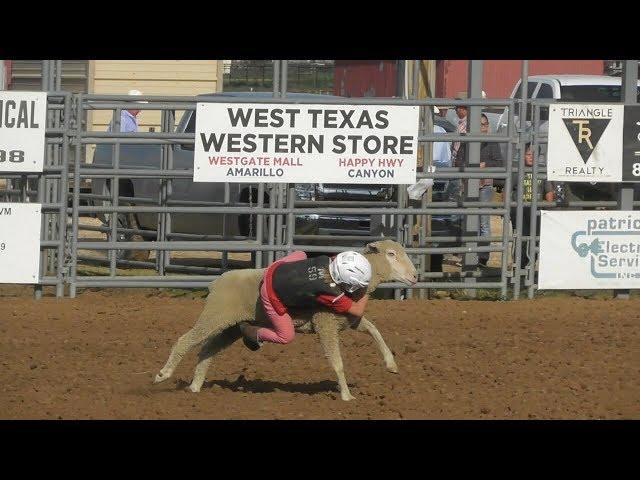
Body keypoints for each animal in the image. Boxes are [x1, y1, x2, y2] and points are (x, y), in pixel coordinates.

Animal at [152, 240, 418, 402]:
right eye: (391, 254)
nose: (415, 277)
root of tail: (217, 281)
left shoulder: (345, 320)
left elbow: (375, 330)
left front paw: (391, 364)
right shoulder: (326, 323)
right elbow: (337, 362)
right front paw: (346, 395)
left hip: (230, 326)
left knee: (208, 349)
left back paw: (196, 386)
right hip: (215, 315)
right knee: (186, 340)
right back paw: (164, 374)